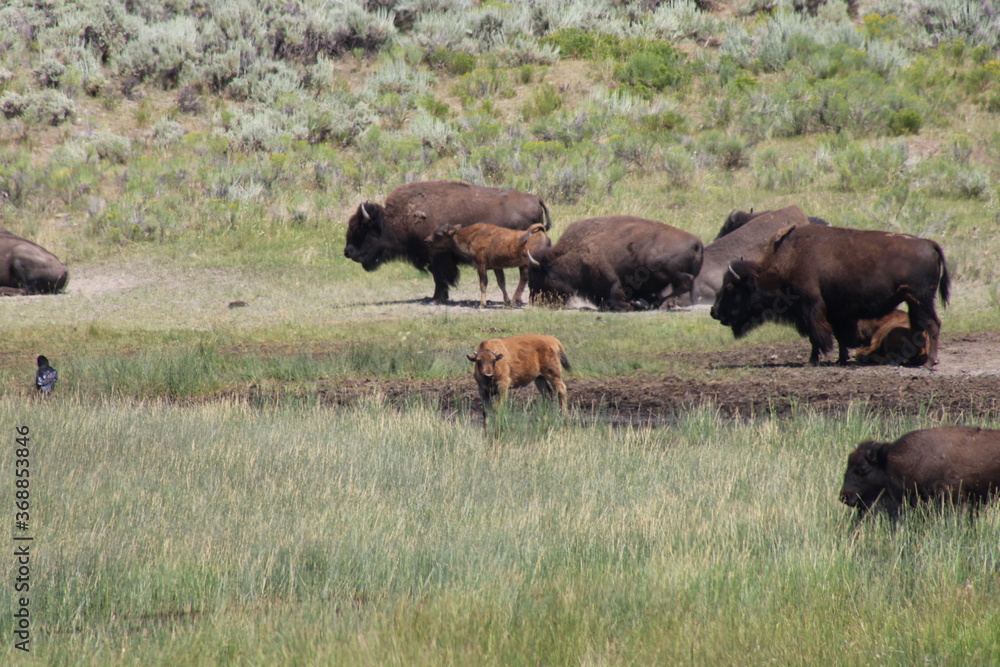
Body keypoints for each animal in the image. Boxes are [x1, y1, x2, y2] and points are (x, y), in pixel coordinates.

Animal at [343, 180, 550, 302]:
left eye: (360, 229)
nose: (347, 252)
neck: (400, 218)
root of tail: (536, 199)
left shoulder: (438, 257)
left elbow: (440, 278)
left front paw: (436, 298)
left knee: (524, 274)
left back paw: (515, 300)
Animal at [526, 216, 703, 311]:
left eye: (536, 277)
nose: (535, 300)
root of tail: (697, 242)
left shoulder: (607, 275)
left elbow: (615, 293)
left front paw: (632, 305)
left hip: (661, 268)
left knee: (685, 282)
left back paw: (659, 303)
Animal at [710, 225, 949, 367]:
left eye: (730, 288)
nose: (714, 312)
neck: (789, 261)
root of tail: (929, 243)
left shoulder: (811, 309)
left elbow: (816, 336)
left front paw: (812, 361)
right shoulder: (835, 311)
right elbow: (838, 336)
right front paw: (841, 359)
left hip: (921, 299)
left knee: (933, 325)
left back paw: (930, 363)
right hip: (913, 302)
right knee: (920, 327)